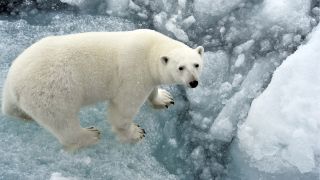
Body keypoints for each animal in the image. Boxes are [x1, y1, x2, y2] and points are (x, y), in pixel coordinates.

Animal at [1, 28, 204, 148]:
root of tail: (12, 83)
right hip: (51, 91)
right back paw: (90, 135)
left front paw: (164, 98)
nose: (193, 82)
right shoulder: (134, 73)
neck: (150, 48)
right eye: (180, 67)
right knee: (63, 120)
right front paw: (136, 133)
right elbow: (122, 109)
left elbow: (153, 90)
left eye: (196, 64)